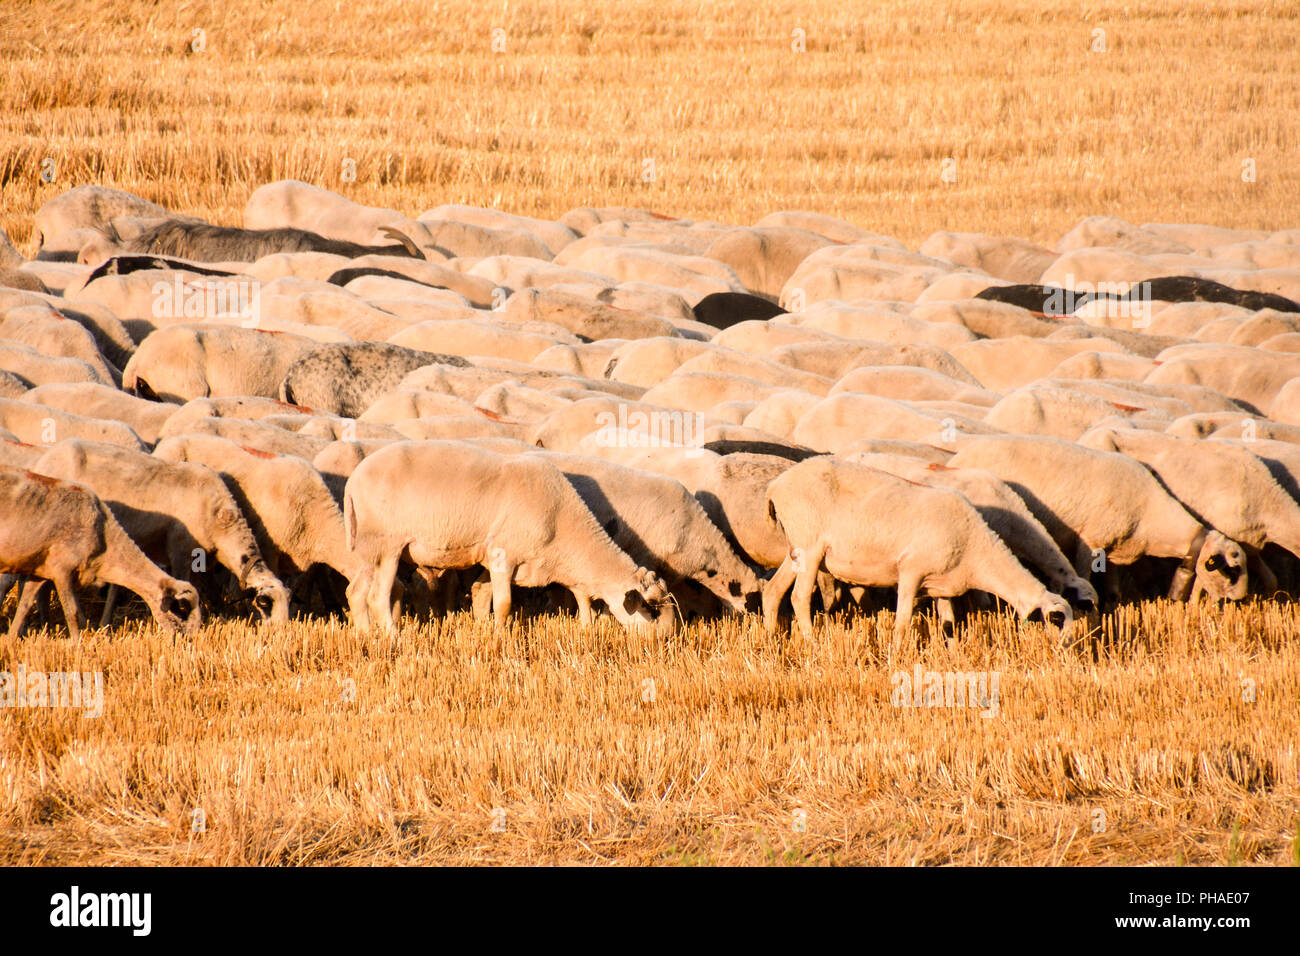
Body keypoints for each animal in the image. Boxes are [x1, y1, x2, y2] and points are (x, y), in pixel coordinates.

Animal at [0, 467, 201, 640]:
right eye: (179, 608)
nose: (189, 639)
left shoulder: (40, 571)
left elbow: (24, 605)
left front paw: (11, 640)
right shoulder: (61, 570)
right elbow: (72, 612)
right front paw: (77, 645)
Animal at [763, 457, 1073, 651]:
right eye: (1057, 620)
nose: (1066, 655)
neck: (976, 554)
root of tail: (775, 486)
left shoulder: (943, 586)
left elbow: (948, 626)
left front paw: (953, 655)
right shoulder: (911, 571)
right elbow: (902, 621)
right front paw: (896, 655)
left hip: (795, 550)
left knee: (772, 591)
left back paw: (770, 640)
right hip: (810, 547)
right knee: (799, 597)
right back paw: (813, 645)